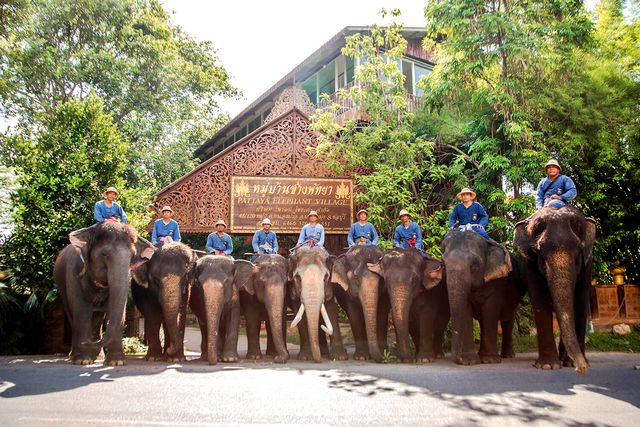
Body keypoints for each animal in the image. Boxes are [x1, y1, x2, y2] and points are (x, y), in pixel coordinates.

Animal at [53, 222, 155, 366]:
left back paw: (98, 357)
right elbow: (82, 310)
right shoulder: (75, 273)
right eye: (104, 254)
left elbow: (115, 310)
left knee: (97, 319)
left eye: (132, 256)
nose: (86, 342)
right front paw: (82, 360)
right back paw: (75, 356)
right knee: (73, 314)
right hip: (61, 285)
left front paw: (116, 362)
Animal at [440, 232, 520, 366]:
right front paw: (470, 360)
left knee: (508, 321)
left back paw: (507, 356)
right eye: (443, 265)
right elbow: (466, 310)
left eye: (475, 265)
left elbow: (490, 310)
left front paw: (490, 360)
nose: (459, 359)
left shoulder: (497, 282)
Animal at [512, 206, 596, 372]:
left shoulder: (587, 264)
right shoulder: (530, 264)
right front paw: (548, 366)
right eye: (539, 250)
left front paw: (575, 363)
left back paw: (567, 360)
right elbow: (539, 299)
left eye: (578, 250)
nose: (581, 369)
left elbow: (581, 300)